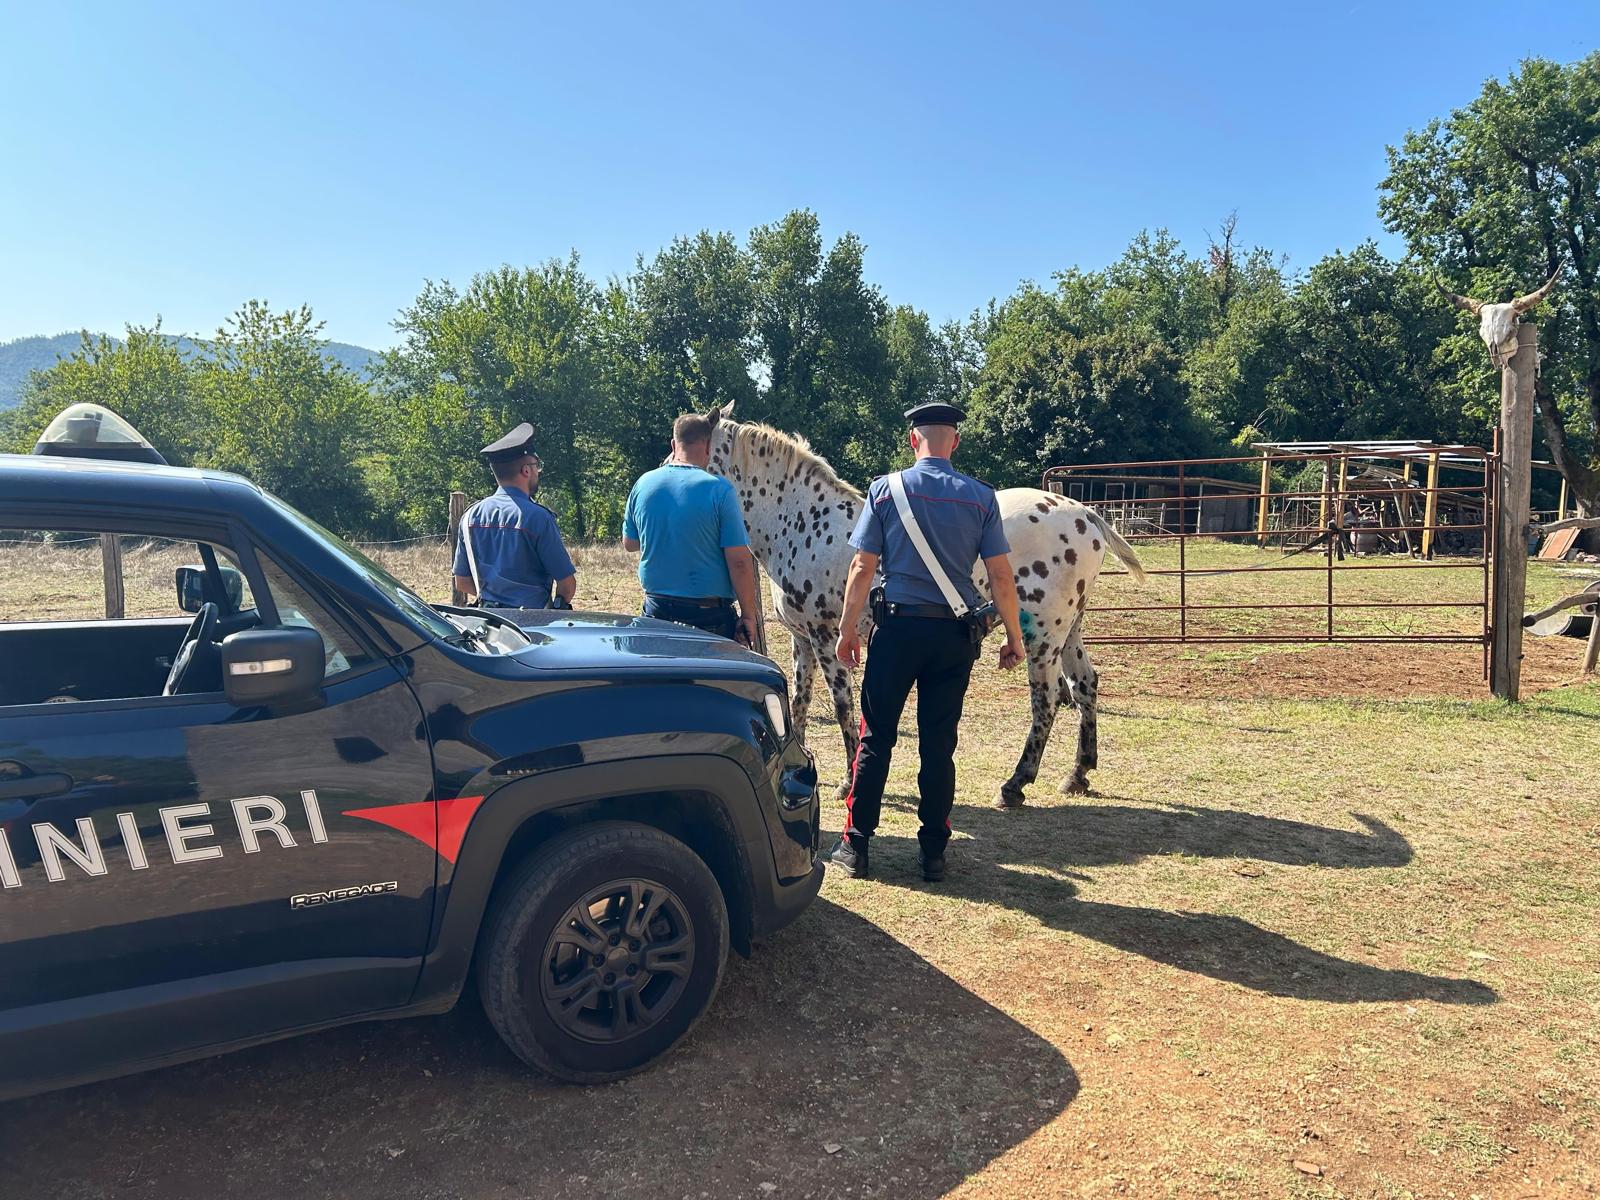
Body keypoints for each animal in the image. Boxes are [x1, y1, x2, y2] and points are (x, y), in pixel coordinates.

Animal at [707, 404, 1145, 809]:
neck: (804, 523)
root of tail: (1084, 513)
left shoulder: (827, 637)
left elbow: (842, 706)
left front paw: (848, 782)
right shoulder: (802, 639)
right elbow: (798, 703)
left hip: (1043, 634)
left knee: (1047, 698)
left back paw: (1015, 784)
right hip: (1070, 630)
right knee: (1085, 684)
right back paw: (1078, 773)